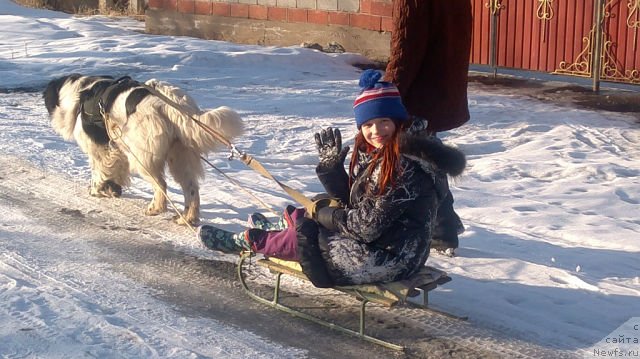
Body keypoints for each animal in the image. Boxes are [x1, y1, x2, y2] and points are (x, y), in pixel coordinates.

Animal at [42, 74, 242, 225]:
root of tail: (168, 103)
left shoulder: (100, 149)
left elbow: (98, 170)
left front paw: (96, 189)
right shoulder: (117, 149)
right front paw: (112, 189)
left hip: (142, 156)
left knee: (161, 184)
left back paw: (155, 208)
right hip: (179, 154)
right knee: (191, 187)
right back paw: (187, 218)